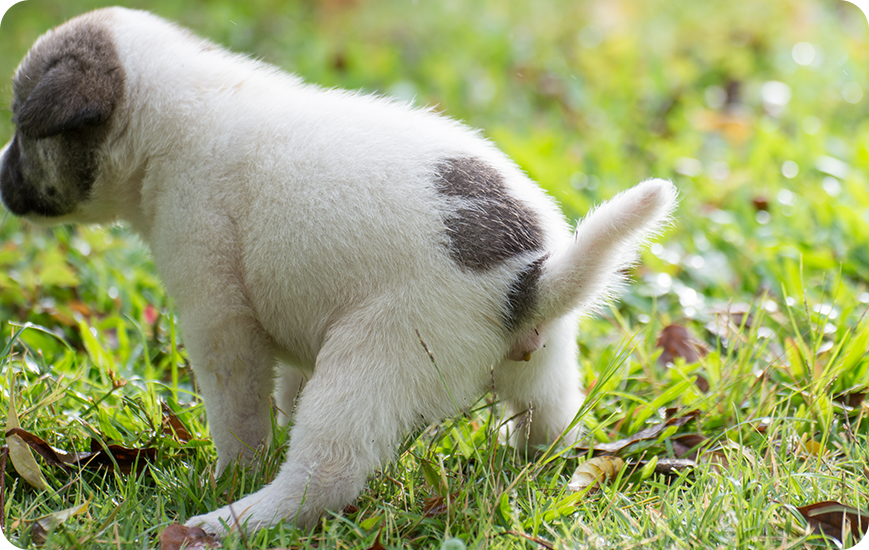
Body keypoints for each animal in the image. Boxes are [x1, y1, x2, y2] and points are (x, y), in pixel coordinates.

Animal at [0, 6, 680, 536]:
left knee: (324, 475)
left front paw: (231, 475)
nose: (0, 179)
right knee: (550, 428)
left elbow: (238, 412)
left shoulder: (217, 312)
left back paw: (228, 522)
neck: (173, 117)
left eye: (20, 127)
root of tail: (533, 276)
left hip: (376, 360)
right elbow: (284, 388)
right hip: (543, 372)